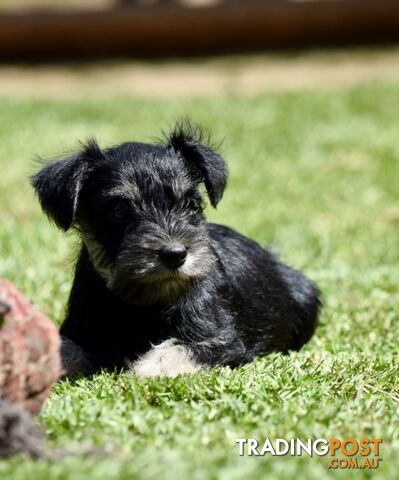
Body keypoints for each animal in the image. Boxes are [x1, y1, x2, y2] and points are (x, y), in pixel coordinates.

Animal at [32, 122, 322, 376]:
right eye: (119, 211)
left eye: (190, 204)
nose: (175, 254)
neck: (143, 302)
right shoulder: (79, 332)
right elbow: (64, 348)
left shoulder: (222, 340)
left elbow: (180, 349)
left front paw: (150, 367)